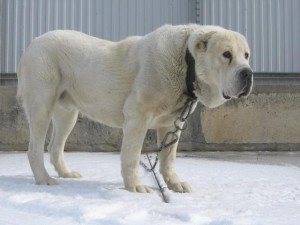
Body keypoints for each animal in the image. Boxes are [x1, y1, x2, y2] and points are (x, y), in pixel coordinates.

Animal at [17, 24, 253, 193]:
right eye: (226, 54)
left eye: (246, 55)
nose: (248, 73)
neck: (187, 64)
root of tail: (32, 43)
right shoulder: (137, 117)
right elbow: (131, 155)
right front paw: (136, 187)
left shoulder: (171, 124)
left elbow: (168, 158)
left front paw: (174, 185)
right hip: (42, 105)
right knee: (35, 148)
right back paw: (44, 180)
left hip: (67, 113)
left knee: (55, 147)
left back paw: (66, 174)